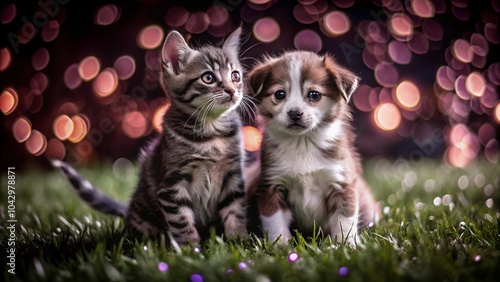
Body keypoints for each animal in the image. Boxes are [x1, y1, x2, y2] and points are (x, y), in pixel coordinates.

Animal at [52, 28, 248, 245]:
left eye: (235, 75)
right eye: (208, 78)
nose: (232, 90)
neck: (212, 132)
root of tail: (129, 211)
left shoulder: (233, 174)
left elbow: (236, 210)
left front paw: (238, 239)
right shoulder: (172, 184)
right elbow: (181, 220)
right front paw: (190, 247)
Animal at [248, 50, 380, 245]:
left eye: (314, 95)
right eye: (279, 94)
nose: (295, 113)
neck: (302, 143)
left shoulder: (341, 183)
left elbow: (345, 222)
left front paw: (346, 246)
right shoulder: (271, 186)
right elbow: (274, 224)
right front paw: (279, 247)